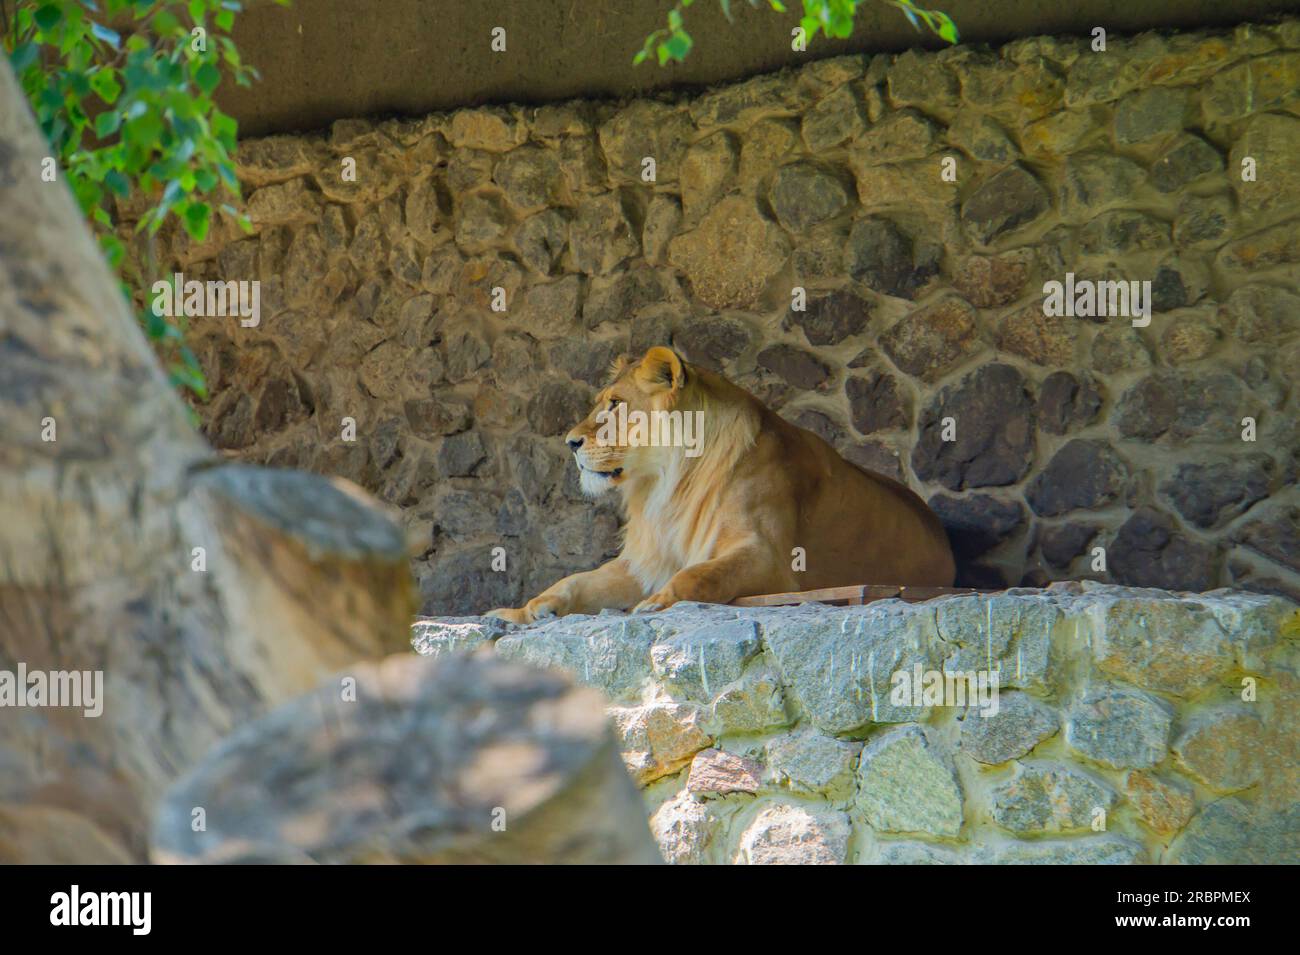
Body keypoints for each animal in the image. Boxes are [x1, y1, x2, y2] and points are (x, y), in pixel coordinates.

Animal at [488, 345, 956, 628]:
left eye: (616, 404)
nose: (569, 442)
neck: (665, 484)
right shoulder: (645, 559)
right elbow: (576, 581)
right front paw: (522, 609)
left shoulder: (772, 559)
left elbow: (700, 573)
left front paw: (657, 602)